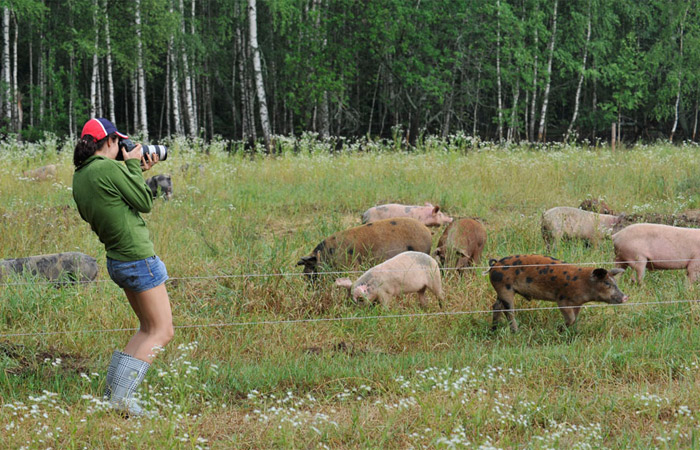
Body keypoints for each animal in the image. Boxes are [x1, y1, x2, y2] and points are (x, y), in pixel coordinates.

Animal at [486, 255, 628, 332]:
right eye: (607, 283)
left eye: (615, 282)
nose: (626, 297)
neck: (584, 283)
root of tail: (495, 265)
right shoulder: (562, 299)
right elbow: (570, 318)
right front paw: (559, 329)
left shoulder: (577, 303)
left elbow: (575, 318)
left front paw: (570, 331)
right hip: (505, 288)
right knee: (509, 311)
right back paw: (516, 331)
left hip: (501, 290)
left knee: (496, 306)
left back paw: (494, 329)